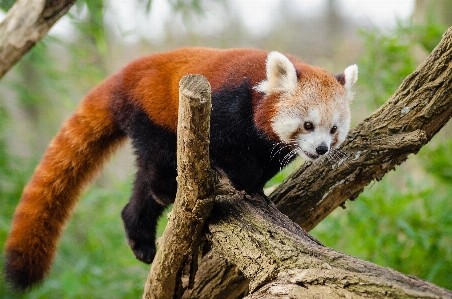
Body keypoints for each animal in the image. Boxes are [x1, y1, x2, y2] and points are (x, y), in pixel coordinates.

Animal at [3, 47, 356, 290]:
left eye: (333, 130)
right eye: (308, 125)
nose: (321, 149)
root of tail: (122, 76)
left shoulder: (266, 145)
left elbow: (264, 165)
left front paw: (256, 188)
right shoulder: (227, 106)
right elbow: (227, 152)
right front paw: (239, 181)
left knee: (142, 187)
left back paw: (140, 235)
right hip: (153, 113)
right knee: (157, 161)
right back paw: (165, 192)